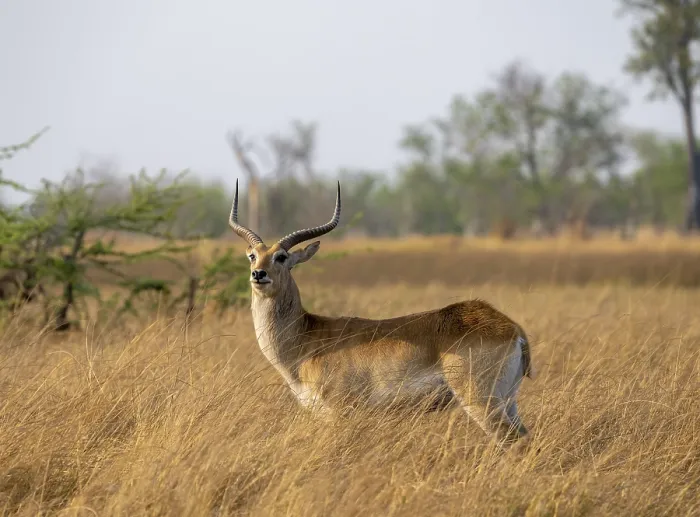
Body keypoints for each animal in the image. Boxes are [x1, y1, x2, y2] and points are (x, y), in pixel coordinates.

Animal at [229, 180, 536, 449]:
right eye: (252, 256)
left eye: (281, 257)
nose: (259, 274)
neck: (307, 339)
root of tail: (512, 328)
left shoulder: (340, 413)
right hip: (508, 402)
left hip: (481, 402)